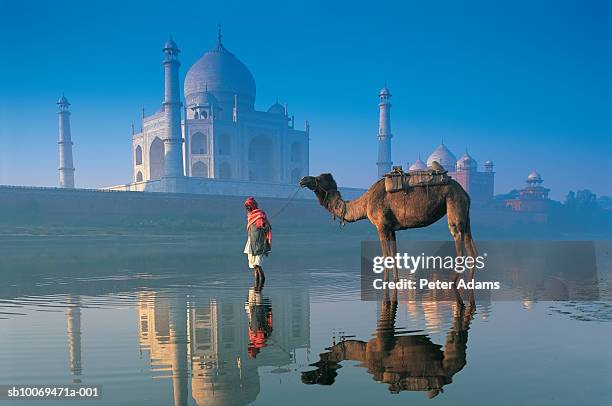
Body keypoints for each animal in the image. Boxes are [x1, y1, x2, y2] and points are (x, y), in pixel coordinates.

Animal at [300, 170, 478, 280]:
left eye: (317, 179)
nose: (302, 180)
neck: (365, 203)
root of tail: (465, 192)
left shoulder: (381, 225)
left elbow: (385, 255)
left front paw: (385, 282)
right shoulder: (391, 228)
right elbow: (393, 254)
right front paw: (397, 281)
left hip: (453, 202)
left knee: (457, 236)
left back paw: (453, 281)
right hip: (465, 212)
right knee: (470, 244)